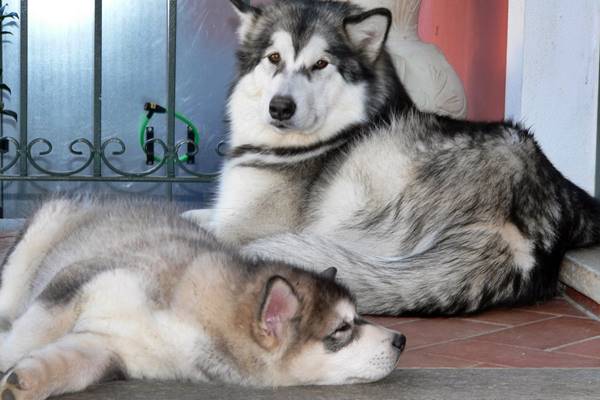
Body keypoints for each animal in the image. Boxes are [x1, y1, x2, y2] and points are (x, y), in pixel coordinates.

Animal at [0, 198, 406, 400]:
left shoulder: (106, 347)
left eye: (358, 317)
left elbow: (70, 364)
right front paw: (8, 355)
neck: (192, 319)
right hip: (40, 235)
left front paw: (24, 381)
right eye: (341, 330)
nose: (401, 340)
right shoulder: (80, 277)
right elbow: (29, 333)